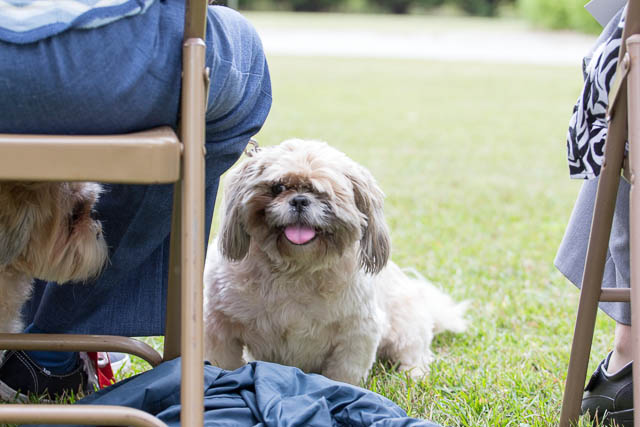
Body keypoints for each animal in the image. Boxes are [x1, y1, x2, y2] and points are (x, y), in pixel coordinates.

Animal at [205, 140, 464, 384]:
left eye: (324, 193)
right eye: (278, 187)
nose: (299, 200)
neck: (296, 269)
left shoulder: (356, 334)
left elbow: (343, 375)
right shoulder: (219, 328)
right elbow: (222, 364)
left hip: (406, 328)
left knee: (414, 353)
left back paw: (413, 374)